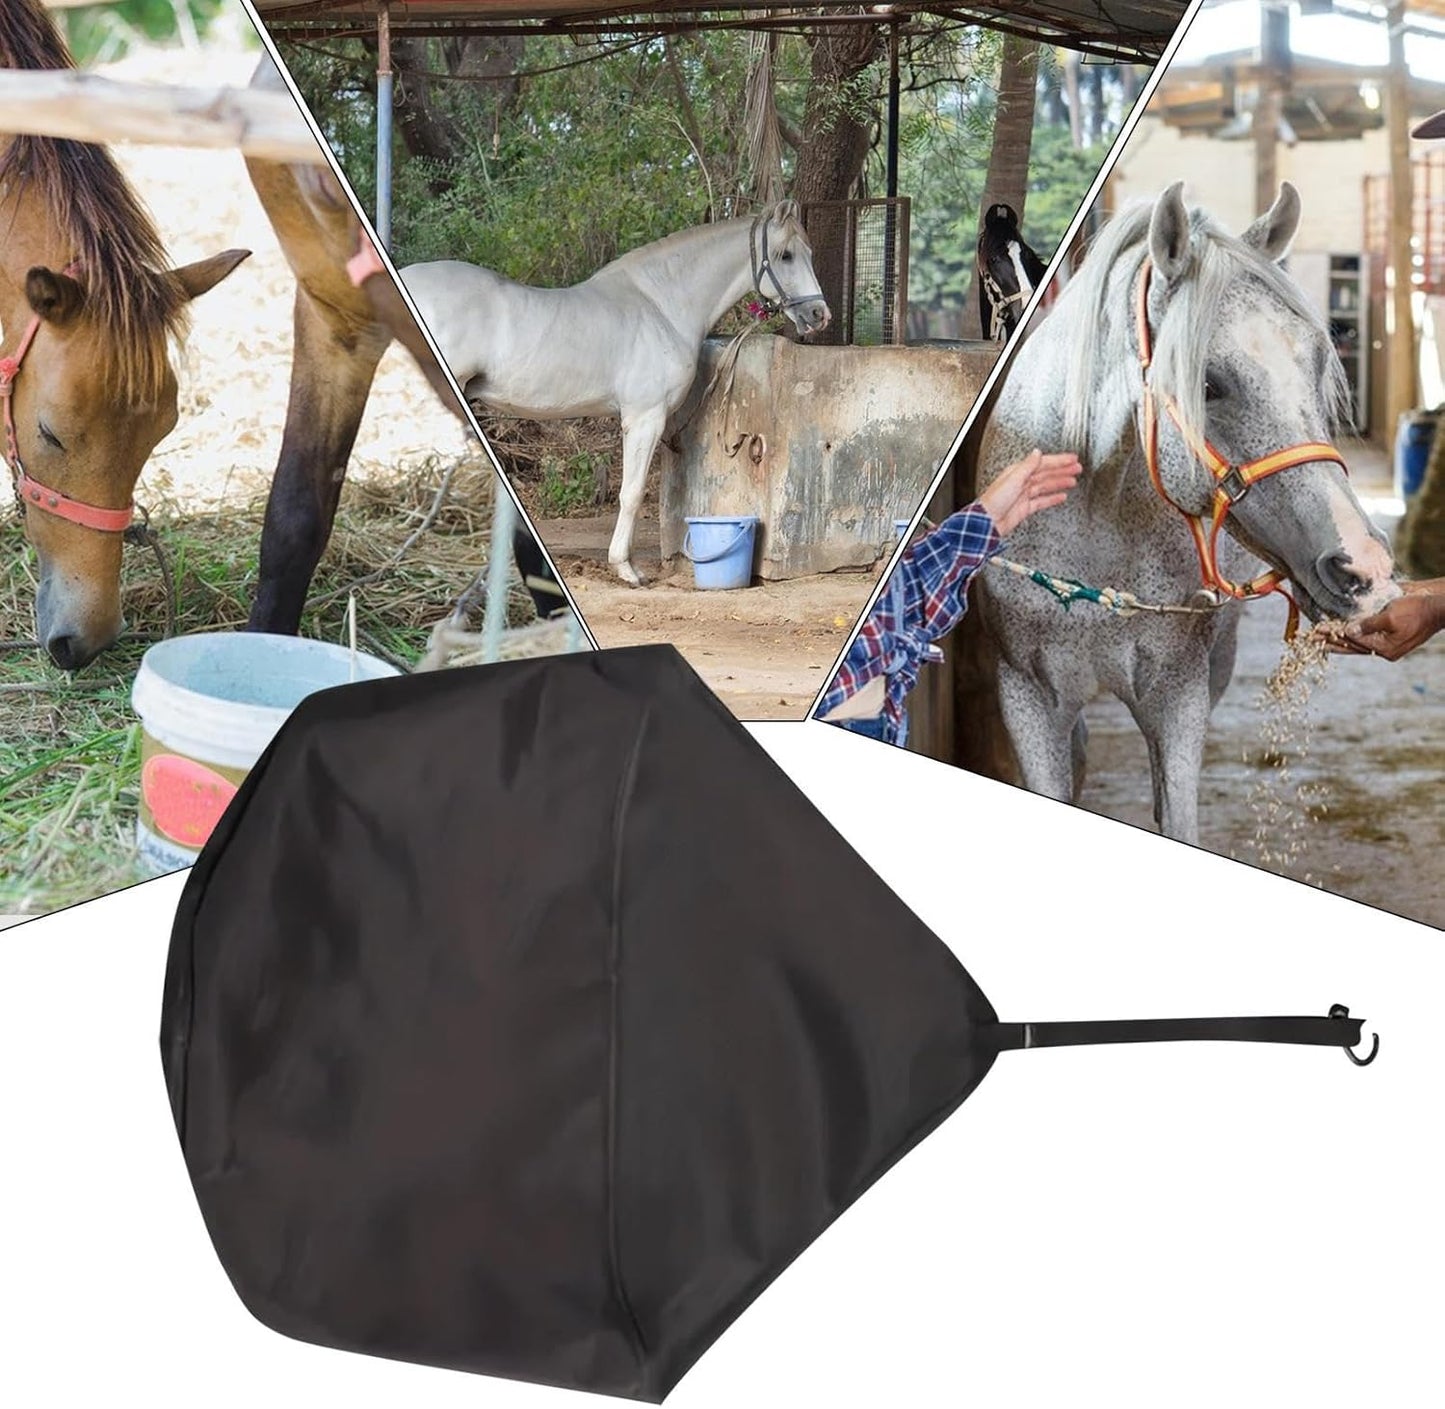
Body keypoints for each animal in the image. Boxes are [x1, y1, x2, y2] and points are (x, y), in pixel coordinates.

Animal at [401, 202, 831, 586]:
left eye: (810, 253)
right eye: (786, 255)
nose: (819, 316)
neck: (661, 306)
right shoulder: (645, 417)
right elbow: (633, 493)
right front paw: (627, 569)